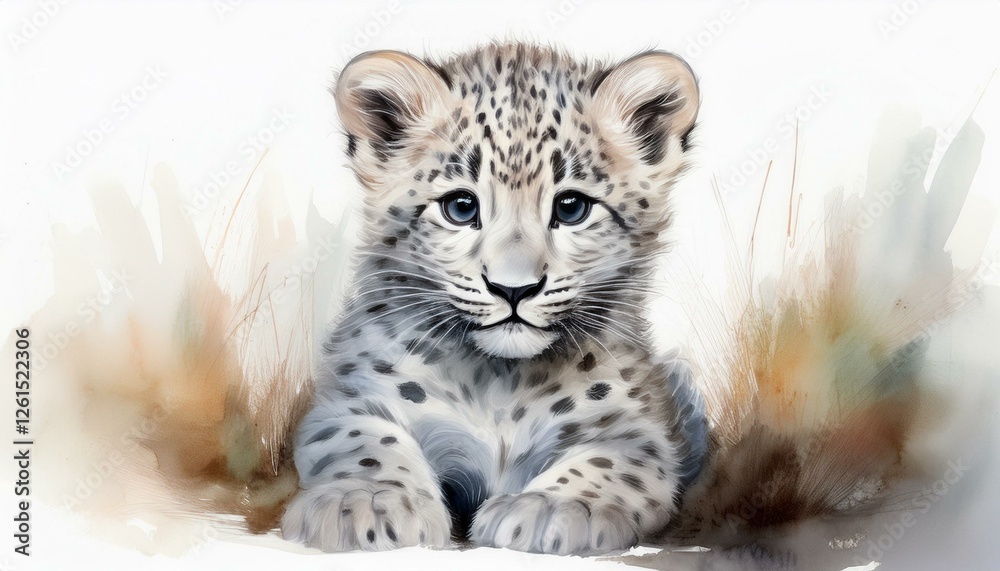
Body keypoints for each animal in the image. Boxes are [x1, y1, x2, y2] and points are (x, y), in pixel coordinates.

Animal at [281, 42, 708, 555]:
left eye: (571, 207)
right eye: (461, 207)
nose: (513, 288)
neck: (499, 381)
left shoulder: (637, 430)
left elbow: (610, 461)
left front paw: (553, 509)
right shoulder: (349, 399)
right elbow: (362, 440)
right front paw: (366, 501)